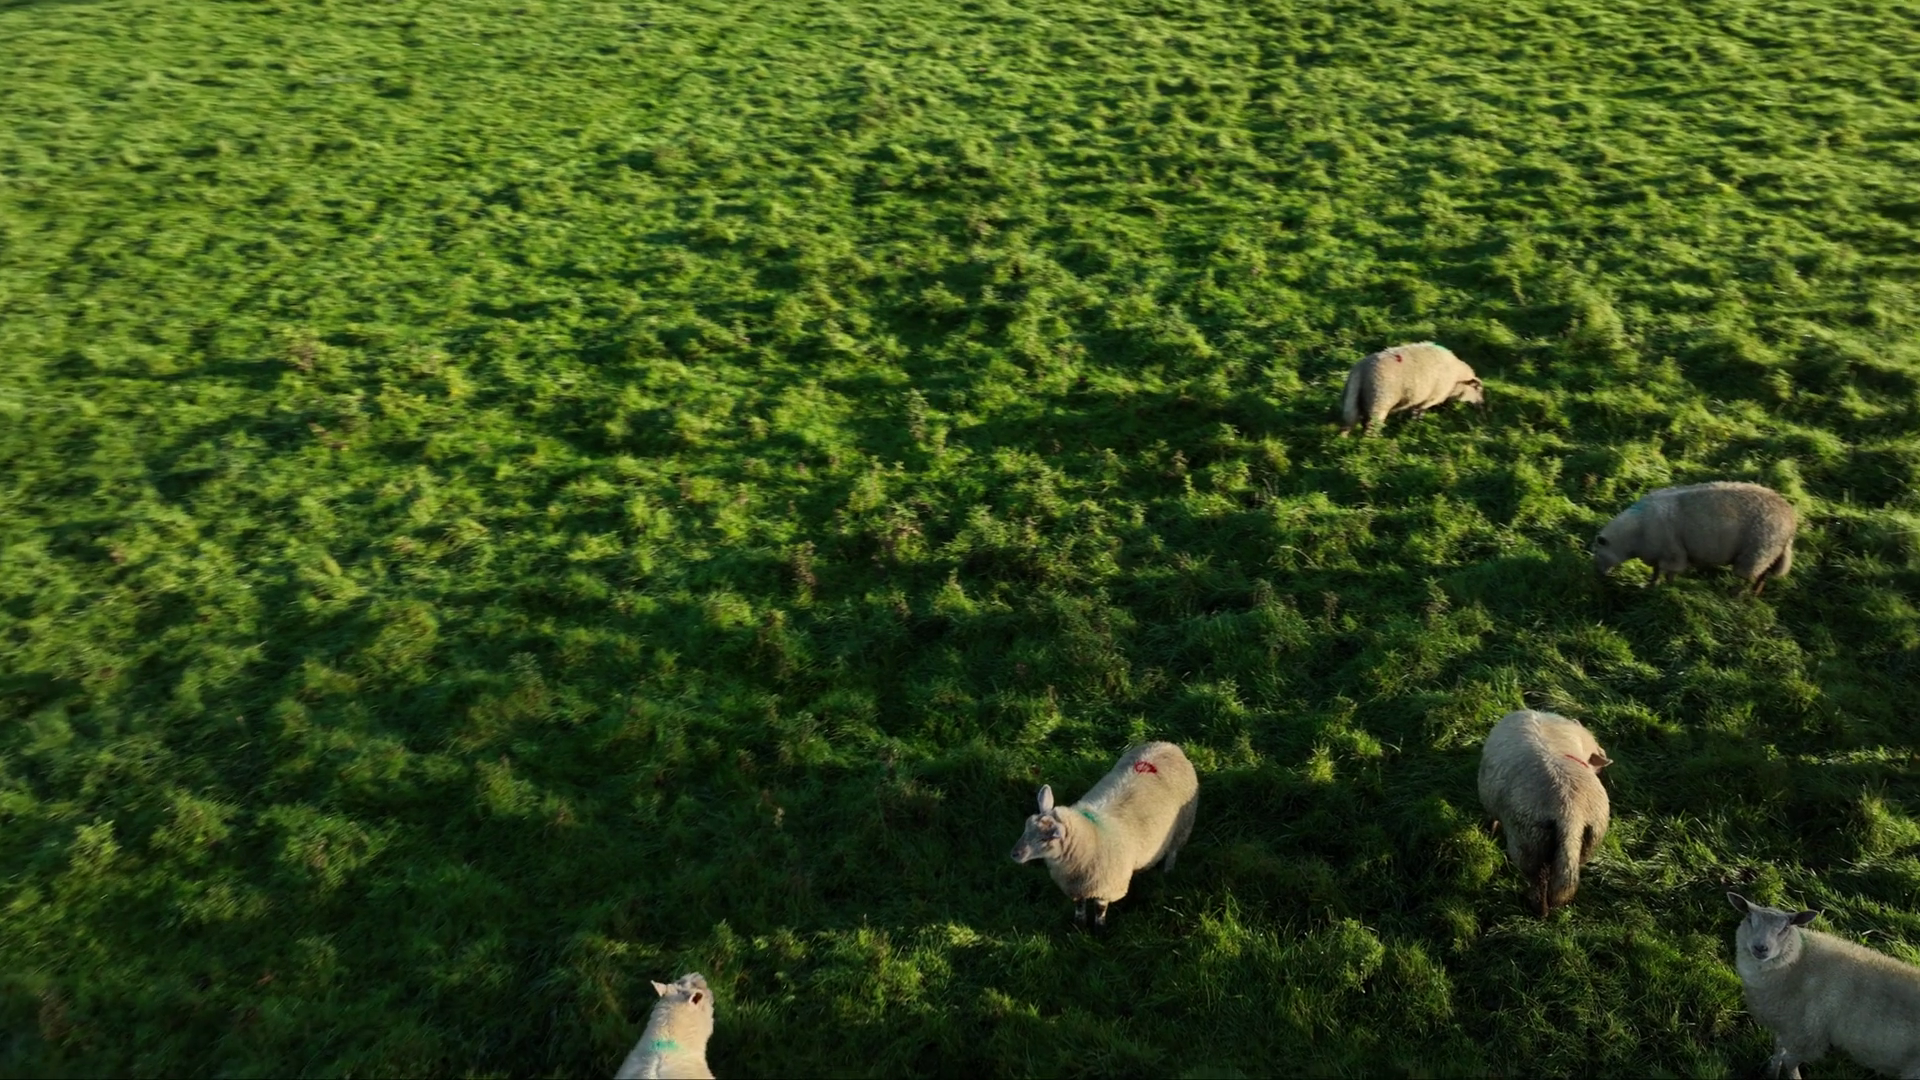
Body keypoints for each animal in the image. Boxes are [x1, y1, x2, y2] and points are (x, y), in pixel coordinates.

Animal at [1009, 741, 1199, 928]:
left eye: (1045, 838)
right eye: (1026, 827)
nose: (1014, 854)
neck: (1091, 836)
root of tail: (1169, 745)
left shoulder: (1107, 887)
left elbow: (1100, 910)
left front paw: (1099, 928)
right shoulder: (1076, 887)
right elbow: (1079, 906)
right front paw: (1079, 925)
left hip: (1183, 825)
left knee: (1173, 851)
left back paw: (1168, 871)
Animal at [1338, 341, 1486, 436]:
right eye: (1478, 389)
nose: (1482, 405)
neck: (1456, 378)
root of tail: (1360, 369)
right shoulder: (1429, 399)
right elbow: (1419, 412)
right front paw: (1416, 425)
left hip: (1355, 400)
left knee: (1349, 422)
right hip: (1379, 402)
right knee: (1370, 428)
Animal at [1592, 481, 1797, 595]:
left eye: (1597, 553)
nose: (1598, 574)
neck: (1634, 536)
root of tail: (1791, 519)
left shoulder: (1672, 553)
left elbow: (1668, 572)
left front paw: (1666, 588)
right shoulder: (1657, 553)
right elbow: (1657, 571)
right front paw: (1650, 585)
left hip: (1756, 552)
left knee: (1750, 576)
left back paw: (1737, 593)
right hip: (1767, 553)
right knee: (1763, 574)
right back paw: (1755, 592)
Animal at [1727, 892, 1920, 1078]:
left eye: (1785, 928)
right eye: (1749, 919)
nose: (1760, 948)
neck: (1799, 963)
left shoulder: (1810, 1033)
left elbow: (1789, 1061)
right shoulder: (1787, 1023)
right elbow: (1778, 1052)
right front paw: (1771, 1074)